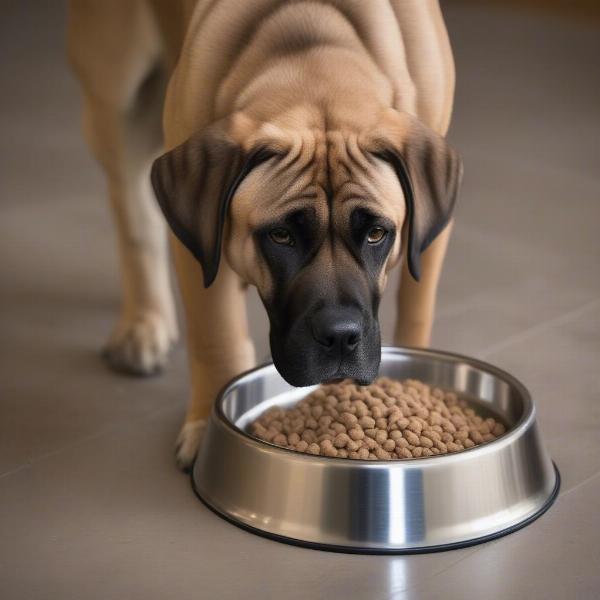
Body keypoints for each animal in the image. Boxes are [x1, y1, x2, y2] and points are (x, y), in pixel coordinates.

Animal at [68, 0, 462, 468]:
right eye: (281, 236)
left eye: (376, 234)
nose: (342, 337)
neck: (313, 49)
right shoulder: (203, 245)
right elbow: (216, 336)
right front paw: (207, 430)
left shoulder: (429, 233)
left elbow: (417, 306)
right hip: (116, 94)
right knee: (132, 212)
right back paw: (143, 323)